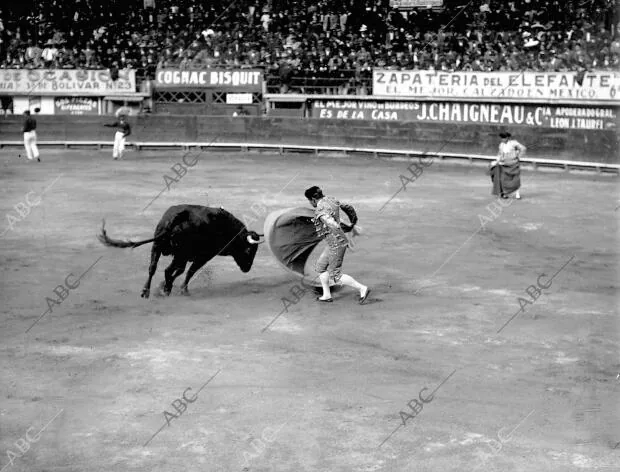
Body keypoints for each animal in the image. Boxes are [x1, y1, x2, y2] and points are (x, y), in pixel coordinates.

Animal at [97, 204, 264, 298]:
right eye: (249, 250)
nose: (247, 269)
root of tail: (177, 217)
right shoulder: (203, 256)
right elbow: (189, 272)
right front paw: (182, 289)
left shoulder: (186, 257)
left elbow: (179, 271)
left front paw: (166, 285)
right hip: (180, 254)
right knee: (168, 269)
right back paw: (167, 289)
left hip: (158, 246)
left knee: (153, 268)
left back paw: (147, 291)